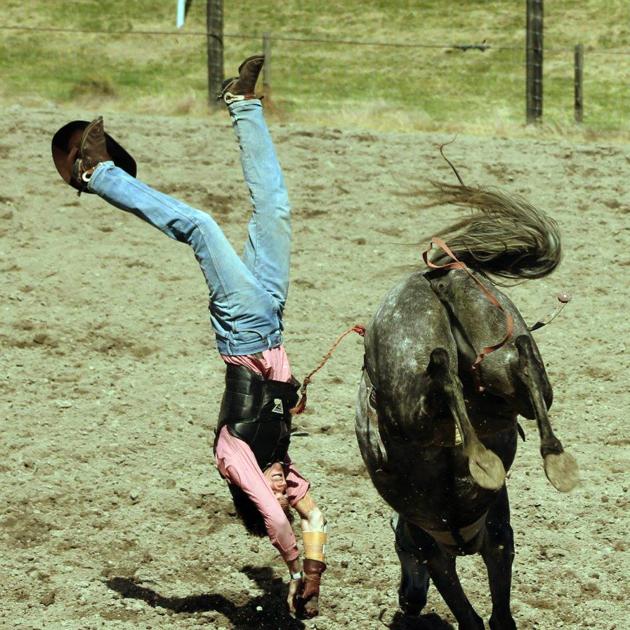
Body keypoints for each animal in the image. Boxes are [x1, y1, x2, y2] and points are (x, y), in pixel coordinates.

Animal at [358, 180, 580, 628]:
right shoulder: (499, 543)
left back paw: (485, 459)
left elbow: (474, 617)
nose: (406, 599)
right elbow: (497, 618)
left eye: (401, 550)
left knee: (443, 373)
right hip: (495, 355)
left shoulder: (437, 556)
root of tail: (433, 278)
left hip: (412, 405)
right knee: (521, 360)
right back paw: (542, 459)